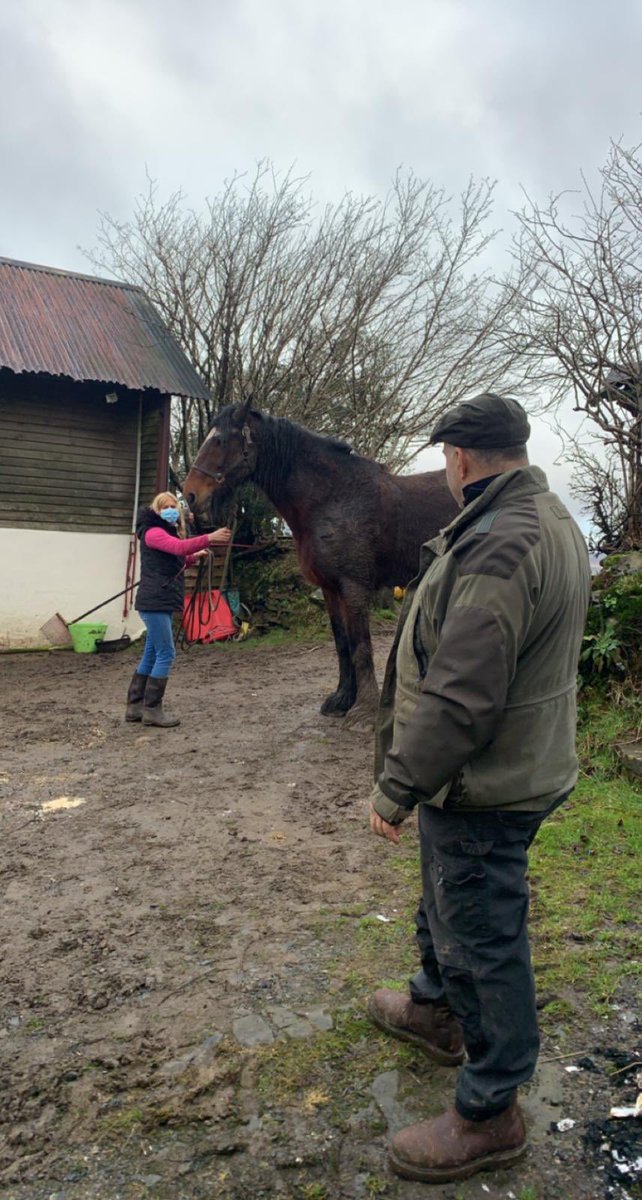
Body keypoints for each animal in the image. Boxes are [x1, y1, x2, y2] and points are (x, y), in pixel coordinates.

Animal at [183, 399, 458, 726]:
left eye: (221, 441)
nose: (190, 494)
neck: (333, 498)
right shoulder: (330, 589)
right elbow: (342, 644)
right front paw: (341, 700)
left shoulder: (353, 587)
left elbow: (360, 646)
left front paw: (363, 711)